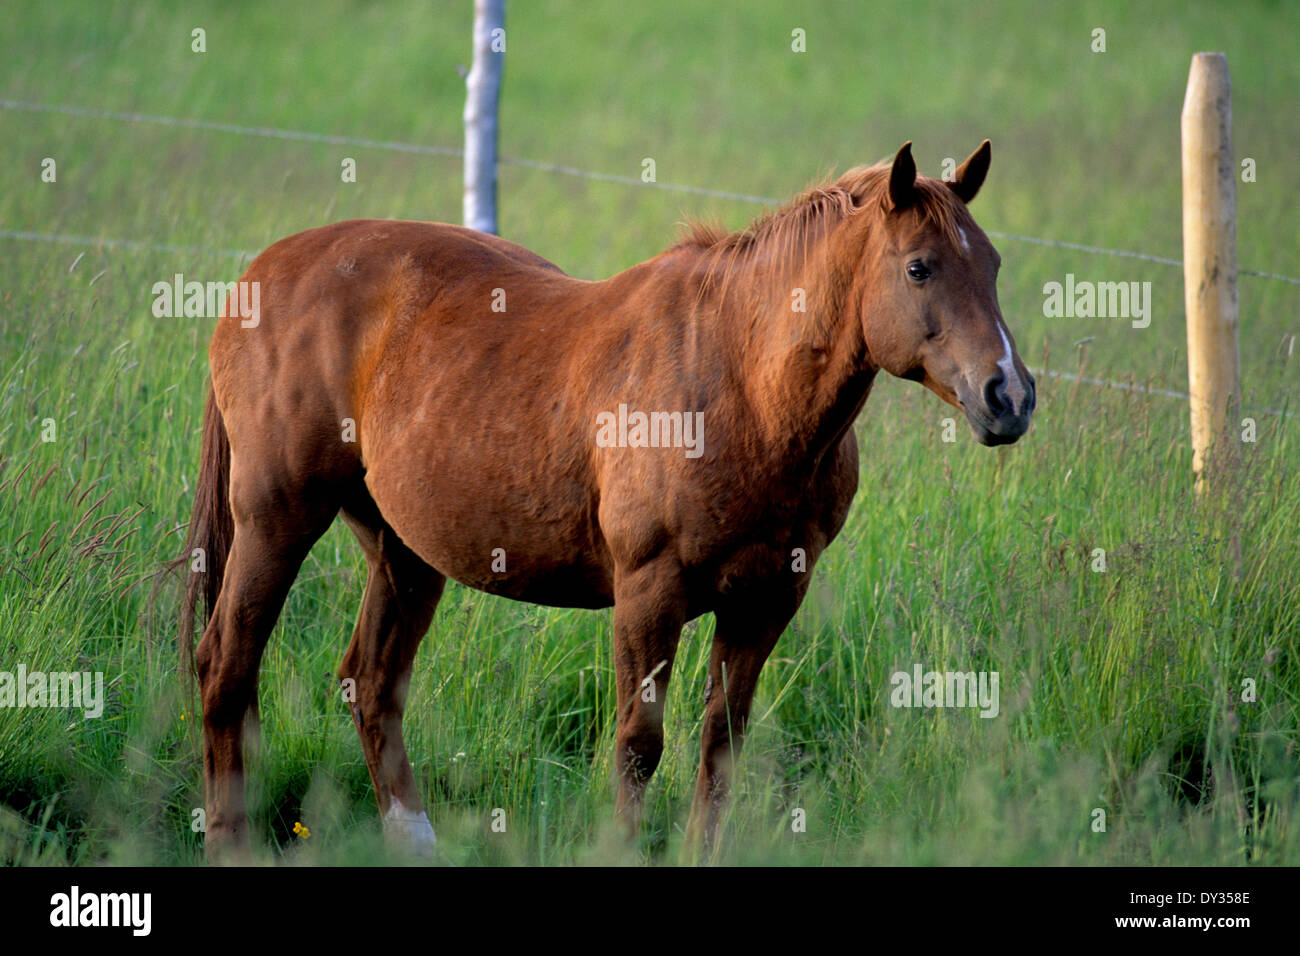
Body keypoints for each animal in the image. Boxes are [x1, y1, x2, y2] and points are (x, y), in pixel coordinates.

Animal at [180, 140, 1034, 858]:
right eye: (920, 268)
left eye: (992, 265)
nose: (1010, 396)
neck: (742, 385)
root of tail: (258, 274)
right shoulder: (649, 590)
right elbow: (637, 745)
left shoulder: (768, 598)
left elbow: (721, 746)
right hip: (277, 518)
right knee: (226, 662)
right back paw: (229, 842)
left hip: (403, 551)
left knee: (373, 682)